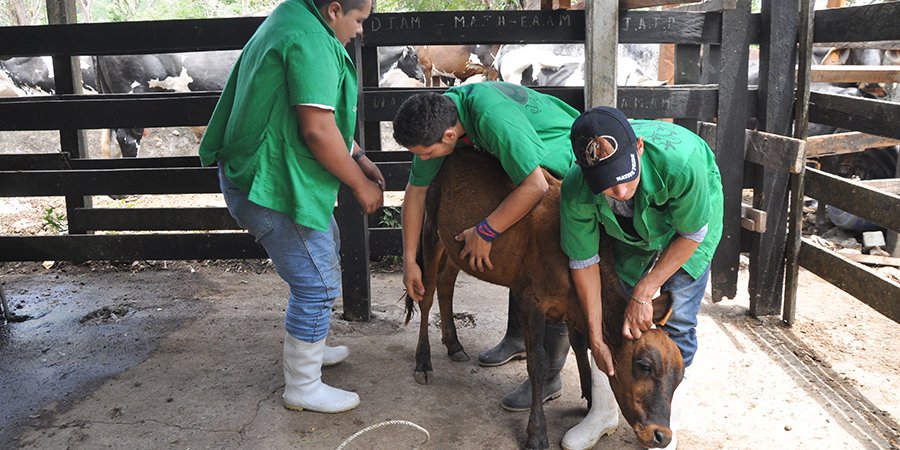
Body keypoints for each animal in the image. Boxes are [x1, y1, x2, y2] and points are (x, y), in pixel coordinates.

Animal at [408, 149, 684, 450]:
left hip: (458, 248)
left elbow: (580, 348)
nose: (661, 435)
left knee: (446, 283)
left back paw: (454, 344)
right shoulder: (530, 299)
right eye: (644, 366)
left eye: (680, 377)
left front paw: (589, 401)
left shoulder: (574, 308)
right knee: (426, 293)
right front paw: (537, 433)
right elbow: (538, 363)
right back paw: (423, 362)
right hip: (431, 228)